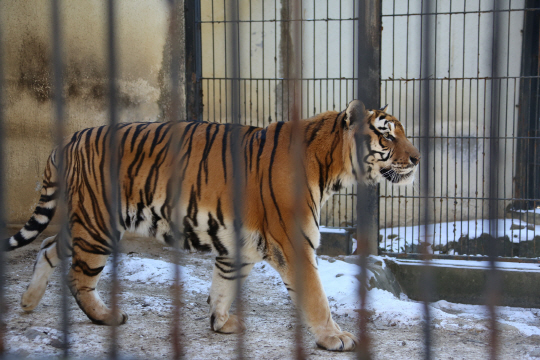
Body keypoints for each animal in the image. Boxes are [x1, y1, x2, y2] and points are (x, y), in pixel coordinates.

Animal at [4, 99, 420, 352]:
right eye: (387, 134)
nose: (417, 158)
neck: (332, 167)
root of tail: (69, 140)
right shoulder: (295, 244)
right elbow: (317, 298)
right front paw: (335, 338)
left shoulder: (241, 245)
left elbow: (223, 286)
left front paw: (221, 323)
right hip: (99, 225)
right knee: (78, 277)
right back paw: (105, 316)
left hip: (87, 223)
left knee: (47, 248)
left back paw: (27, 302)